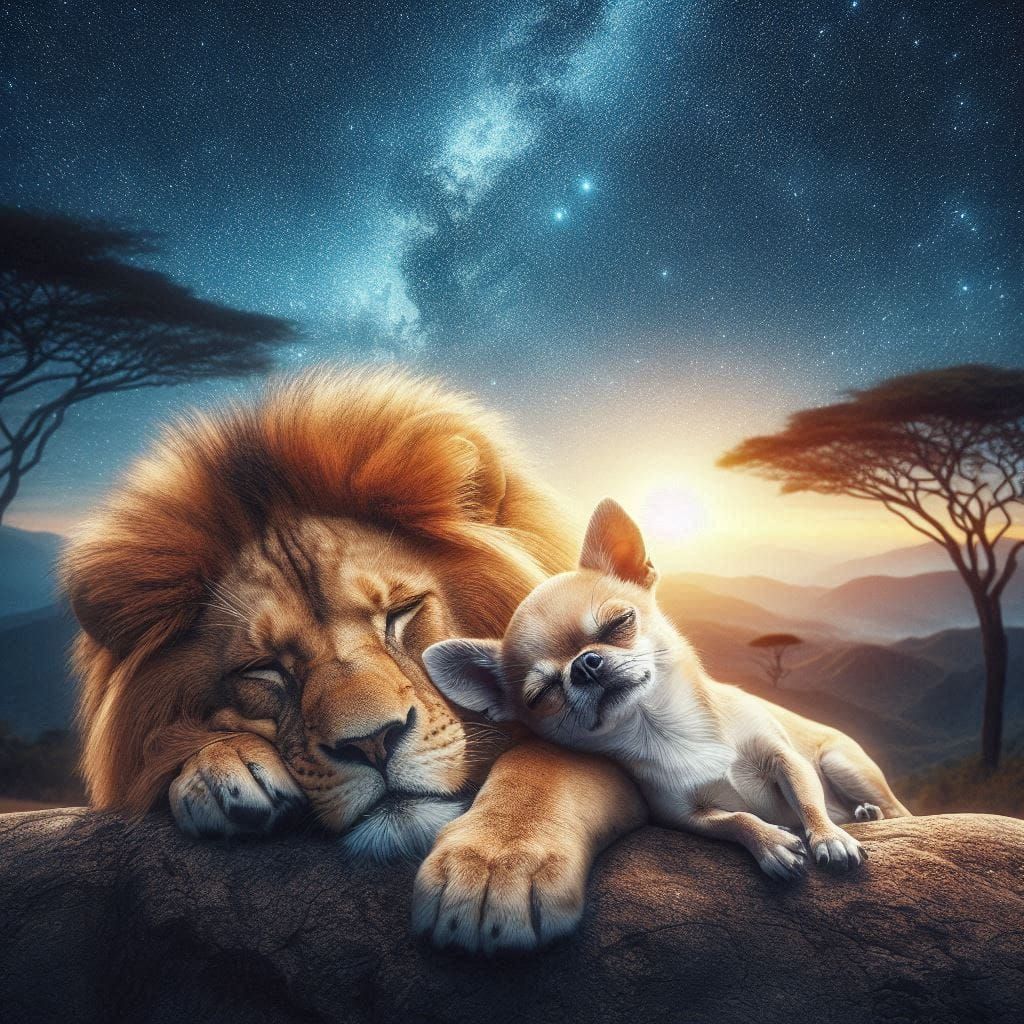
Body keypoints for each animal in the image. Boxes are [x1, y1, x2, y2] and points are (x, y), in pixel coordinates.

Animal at [62, 366, 646, 953]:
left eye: (402, 613)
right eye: (263, 668)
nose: (371, 743)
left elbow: (548, 762)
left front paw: (492, 870)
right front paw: (223, 768)